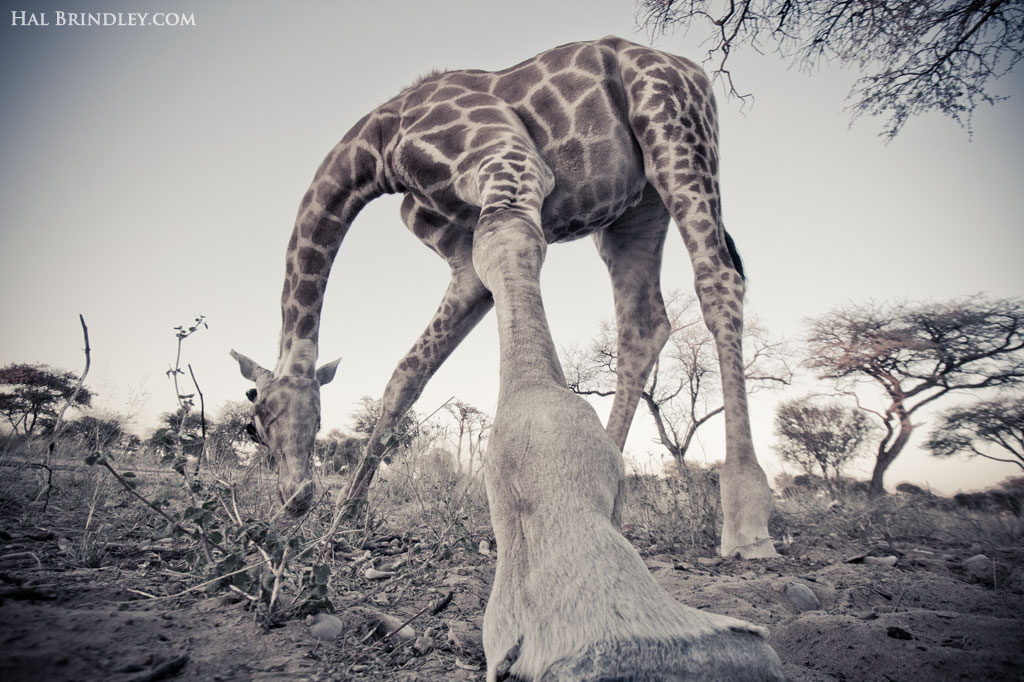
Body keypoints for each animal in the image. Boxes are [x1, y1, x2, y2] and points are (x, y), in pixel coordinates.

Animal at [234, 35, 782, 675]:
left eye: (254, 422)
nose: (295, 497)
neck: (377, 145)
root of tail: (693, 71)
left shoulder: (504, 157)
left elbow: (508, 245)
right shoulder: (462, 261)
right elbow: (408, 373)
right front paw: (343, 518)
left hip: (674, 132)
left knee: (718, 278)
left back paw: (745, 519)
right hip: (635, 210)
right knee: (645, 322)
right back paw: (615, 485)